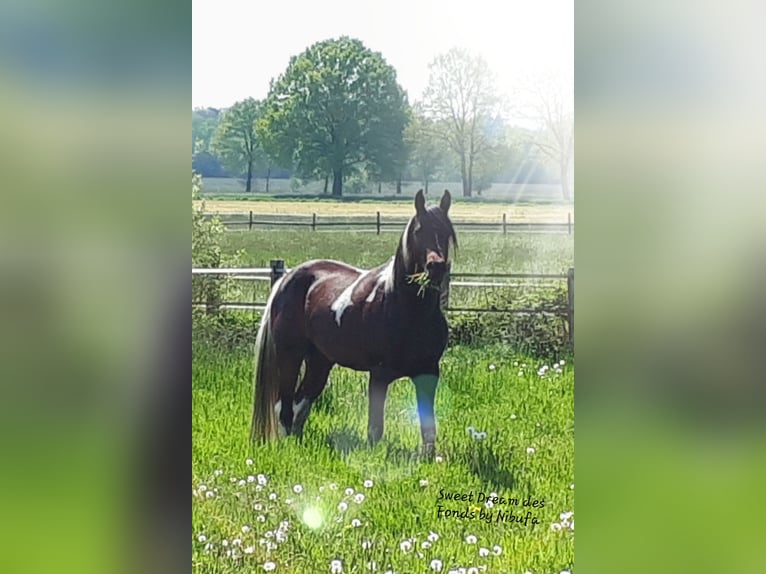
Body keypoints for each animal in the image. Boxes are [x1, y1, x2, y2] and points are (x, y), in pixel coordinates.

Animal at [250, 189, 457, 454]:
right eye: (419, 231)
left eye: (447, 232)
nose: (436, 267)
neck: (408, 311)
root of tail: (286, 279)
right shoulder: (379, 375)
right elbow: (375, 428)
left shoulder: (428, 372)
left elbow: (428, 428)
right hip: (290, 357)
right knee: (284, 406)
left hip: (319, 361)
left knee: (300, 403)